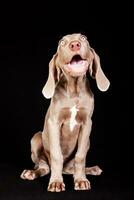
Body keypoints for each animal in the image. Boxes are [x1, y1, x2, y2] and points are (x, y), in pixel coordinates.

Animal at [20, 33, 110, 192]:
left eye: (84, 38)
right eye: (62, 42)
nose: (75, 44)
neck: (74, 91)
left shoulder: (87, 123)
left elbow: (80, 156)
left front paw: (81, 180)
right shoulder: (54, 122)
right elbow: (57, 155)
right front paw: (56, 182)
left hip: (87, 142)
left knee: (71, 167)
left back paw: (91, 169)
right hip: (36, 138)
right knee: (44, 167)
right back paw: (31, 173)